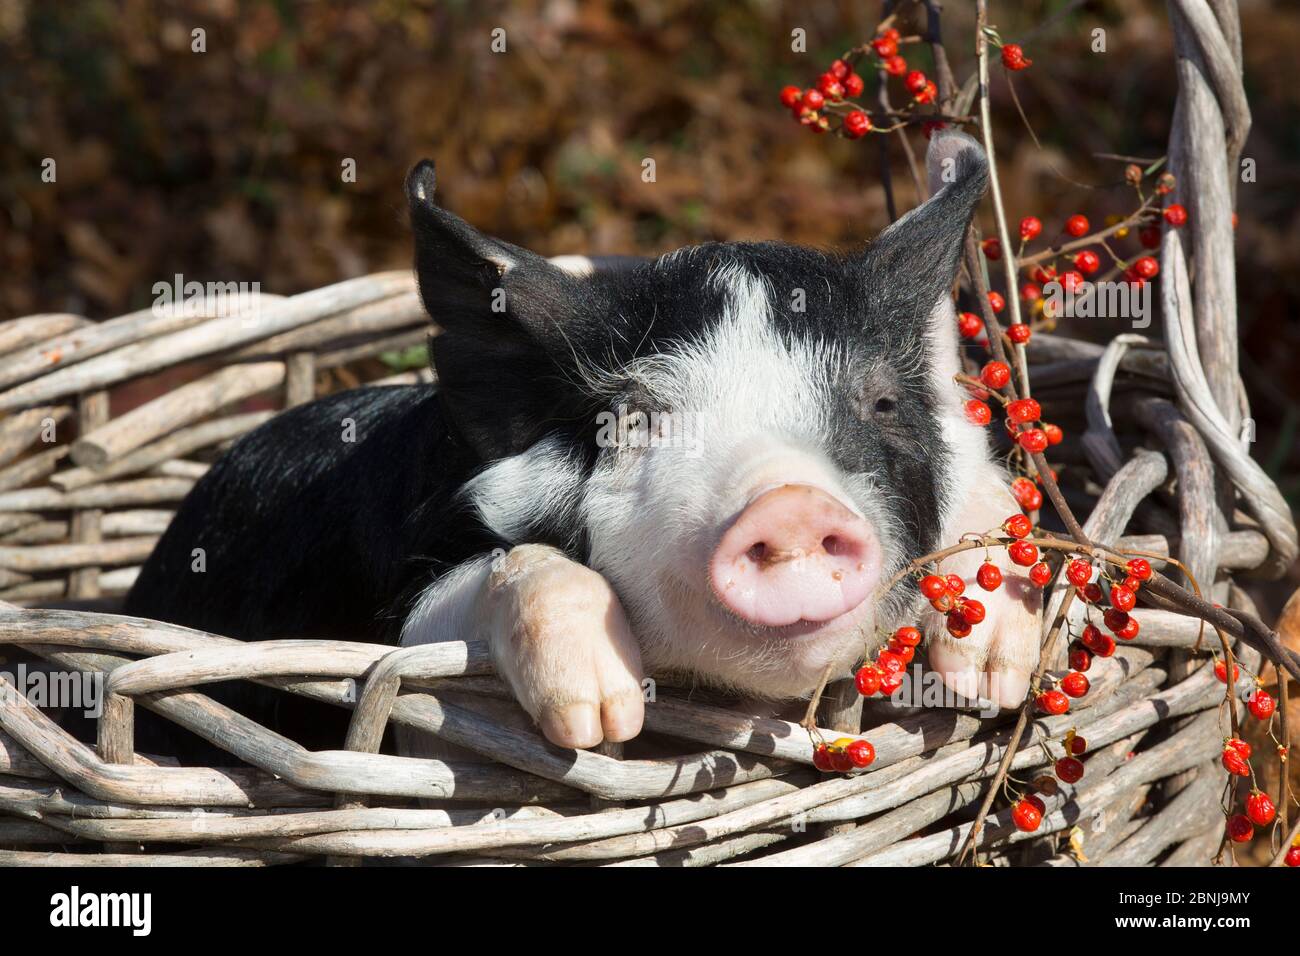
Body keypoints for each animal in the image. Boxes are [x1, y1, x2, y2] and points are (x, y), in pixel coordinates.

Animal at [124, 130, 1041, 754]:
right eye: (632, 418)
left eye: (881, 401)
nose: (787, 503)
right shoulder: (395, 606)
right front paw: (600, 720)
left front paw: (992, 675)